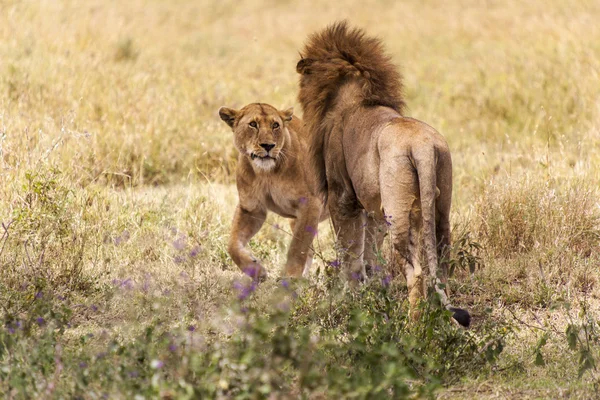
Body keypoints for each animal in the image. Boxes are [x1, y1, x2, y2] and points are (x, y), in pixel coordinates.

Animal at [218, 104, 326, 282]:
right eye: (253, 124)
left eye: (275, 125)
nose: (268, 146)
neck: (267, 173)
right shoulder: (251, 208)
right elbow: (232, 244)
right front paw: (256, 271)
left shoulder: (311, 204)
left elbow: (298, 247)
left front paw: (289, 279)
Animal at [298, 21, 472, 326]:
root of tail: (422, 145)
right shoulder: (372, 207)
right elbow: (371, 255)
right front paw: (374, 295)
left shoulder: (342, 198)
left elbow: (349, 252)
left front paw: (350, 300)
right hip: (440, 206)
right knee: (441, 264)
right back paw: (442, 320)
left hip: (397, 212)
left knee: (415, 272)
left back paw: (413, 327)